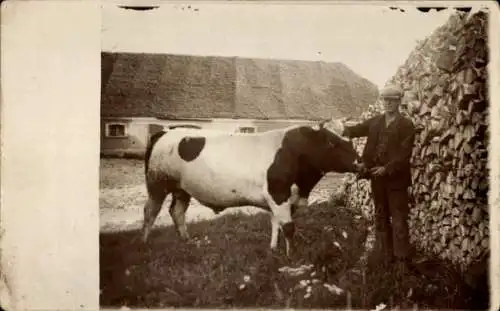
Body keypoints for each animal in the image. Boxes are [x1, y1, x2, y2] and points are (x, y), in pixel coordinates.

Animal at [140, 118, 360, 258]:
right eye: (331, 142)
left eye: (351, 138)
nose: (360, 163)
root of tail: (165, 131)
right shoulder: (278, 193)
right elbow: (288, 227)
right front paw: (291, 257)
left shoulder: (280, 198)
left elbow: (276, 223)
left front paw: (273, 249)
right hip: (157, 183)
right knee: (150, 211)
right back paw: (144, 243)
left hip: (182, 189)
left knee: (176, 211)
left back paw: (187, 240)